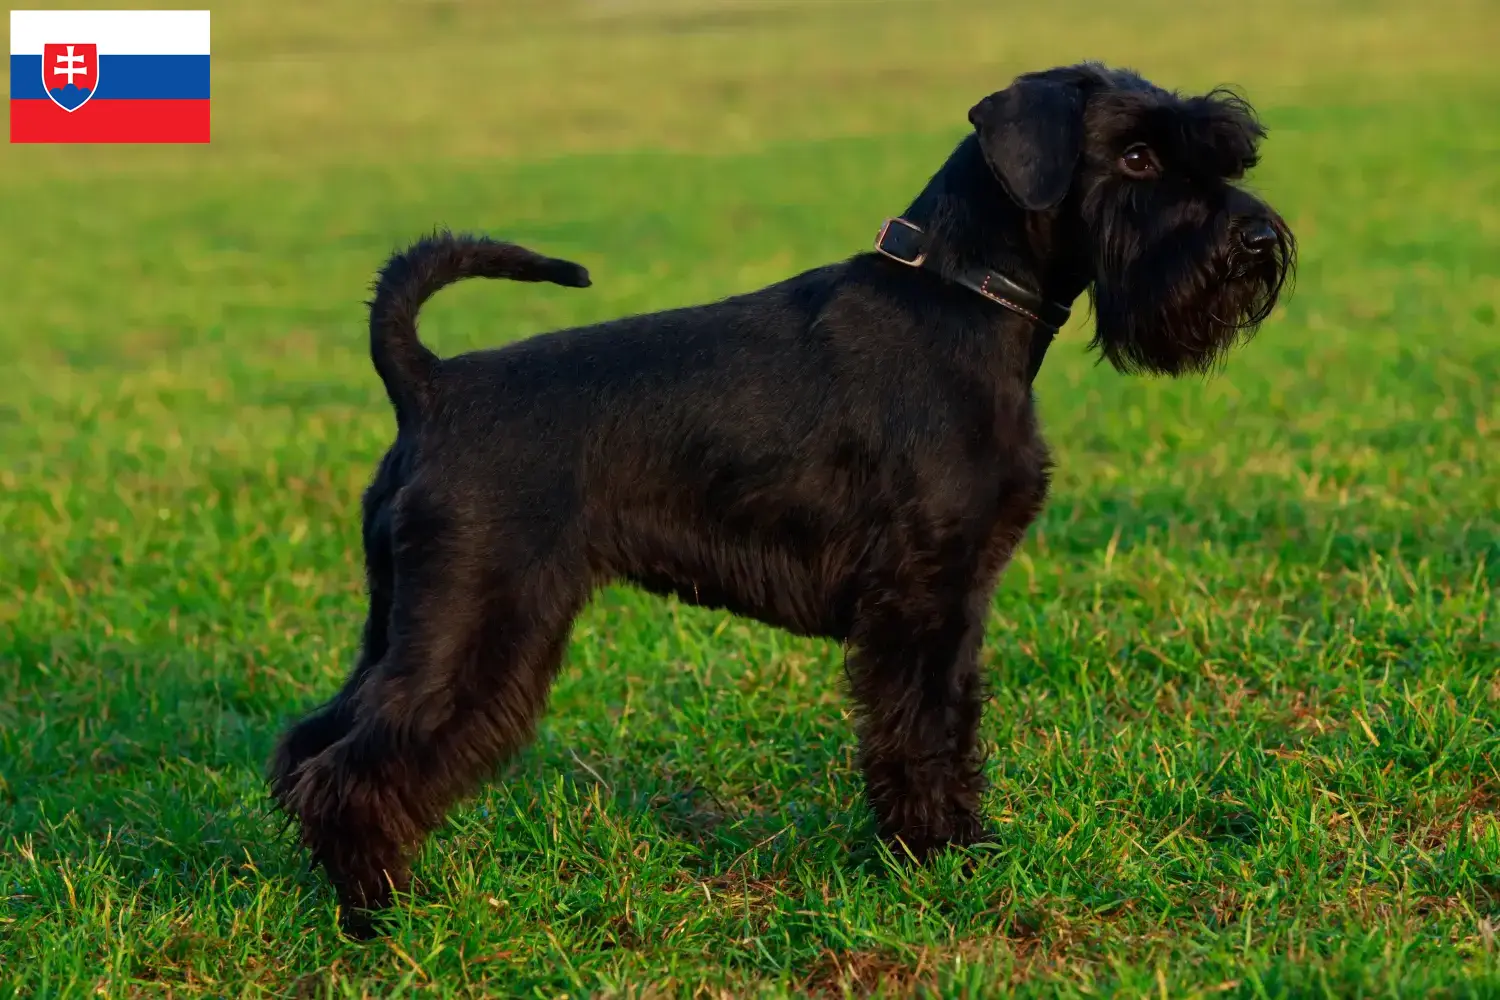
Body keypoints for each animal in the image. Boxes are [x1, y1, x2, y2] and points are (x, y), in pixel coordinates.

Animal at [267, 62, 1290, 935]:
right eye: (1138, 157)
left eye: (1223, 153)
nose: (1259, 240)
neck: (963, 301)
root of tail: (431, 386)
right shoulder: (926, 596)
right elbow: (924, 729)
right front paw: (942, 859)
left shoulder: (953, 599)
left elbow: (949, 721)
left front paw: (952, 846)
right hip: (480, 622)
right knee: (353, 770)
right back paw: (382, 912)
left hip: (406, 617)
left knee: (309, 743)